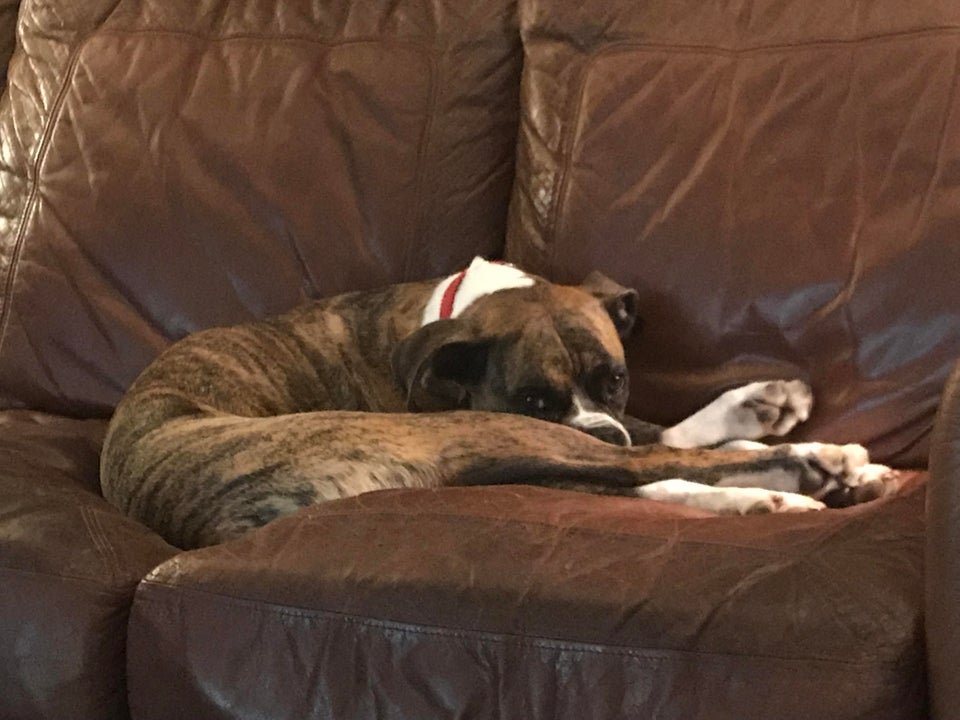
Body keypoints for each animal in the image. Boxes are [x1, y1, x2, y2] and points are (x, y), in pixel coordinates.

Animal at [101, 258, 904, 544]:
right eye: (534, 398)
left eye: (615, 378)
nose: (602, 427)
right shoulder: (528, 430)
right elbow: (661, 449)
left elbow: (662, 433)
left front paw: (758, 410)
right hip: (473, 440)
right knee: (651, 472)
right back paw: (808, 470)